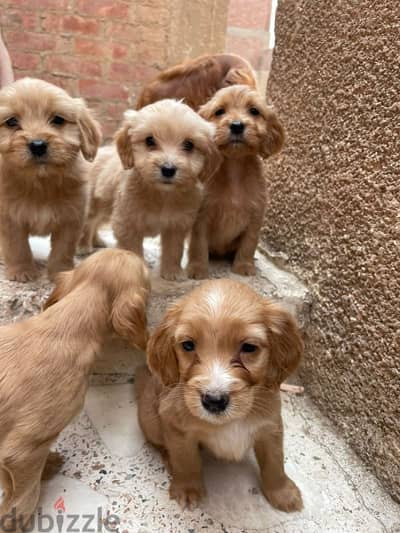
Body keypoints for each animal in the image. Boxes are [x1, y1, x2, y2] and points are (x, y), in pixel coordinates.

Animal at [0, 78, 101, 282]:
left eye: (58, 120)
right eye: (12, 122)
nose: (37, 145)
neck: (41, 183)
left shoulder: (71, 219)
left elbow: (63, 249)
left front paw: (60, 272)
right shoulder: (10, 218)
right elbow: (17, 247)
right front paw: (21, 271)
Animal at [111, 98, 220, 278]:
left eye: (189, 144)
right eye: (149, 140)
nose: (168, 169)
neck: (162, 195)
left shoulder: (176, 225)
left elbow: (174, 250)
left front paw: (172, 271)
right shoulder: (127, 224)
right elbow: (132, 250)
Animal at [137, 278, 304, 512]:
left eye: (249, 347)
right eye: (188, 345)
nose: (213, 401)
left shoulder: (270, 425)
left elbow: (275, 461)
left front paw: (282, 493)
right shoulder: (175, 426)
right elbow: (185, 459)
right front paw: (187, 488)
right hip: (150, 421)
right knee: (159, 444)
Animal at [188, 84, 284, 276]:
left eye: (254, 111)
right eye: (219, 111)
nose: (237, 125)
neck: (235, 168)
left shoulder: (255, 215)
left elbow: (249, 244)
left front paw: (244, 266)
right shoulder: (202, 215)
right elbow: (198, 244)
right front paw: (198, 268)